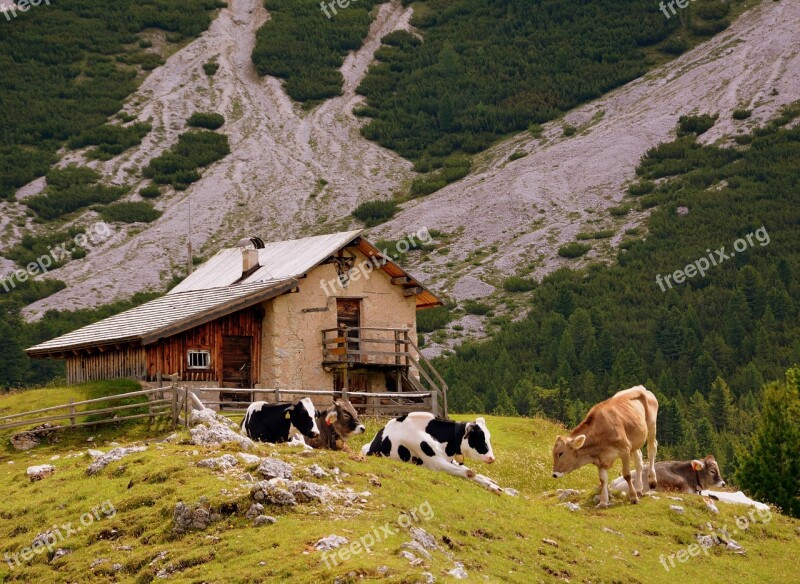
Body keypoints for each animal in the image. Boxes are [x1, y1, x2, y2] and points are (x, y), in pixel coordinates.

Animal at [362, 410, 500, 492]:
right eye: (479, 438)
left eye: (488, 437)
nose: (491, 458)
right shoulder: (436, 464)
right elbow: (469, 472)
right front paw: (492, 486)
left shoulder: (449, 460)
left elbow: (471, 471)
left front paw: (493, 485)